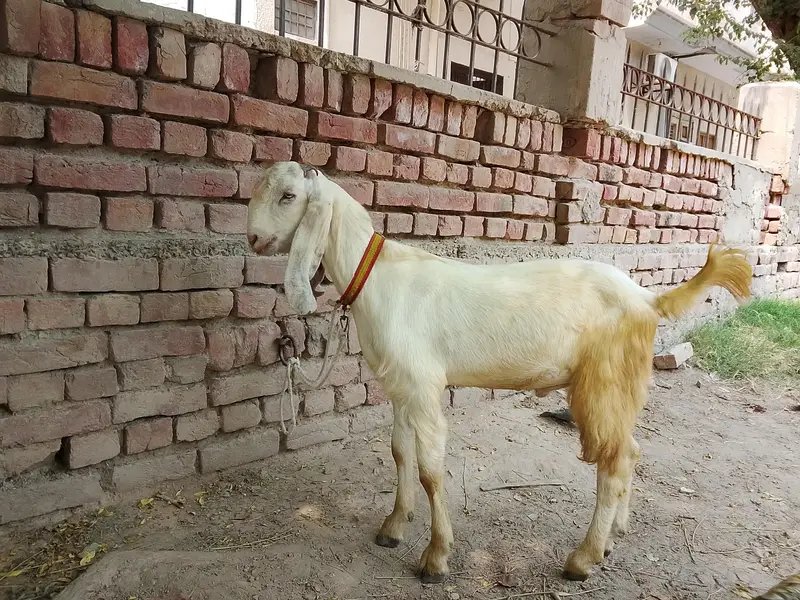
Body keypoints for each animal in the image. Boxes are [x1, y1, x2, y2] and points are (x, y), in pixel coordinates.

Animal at [247, 162, 753, 584]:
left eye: (288, 196)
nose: (252, 240)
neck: (377, 276)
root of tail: (648, 297)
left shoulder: (424, 387)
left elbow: (430, 472)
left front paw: (436, 558)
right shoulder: (402, 386)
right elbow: (399, 453)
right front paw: (393, 526)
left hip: (604, 380)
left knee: (614, 461)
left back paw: (583, 558)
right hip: (619, 385)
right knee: (631, 450)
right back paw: (615, 535)